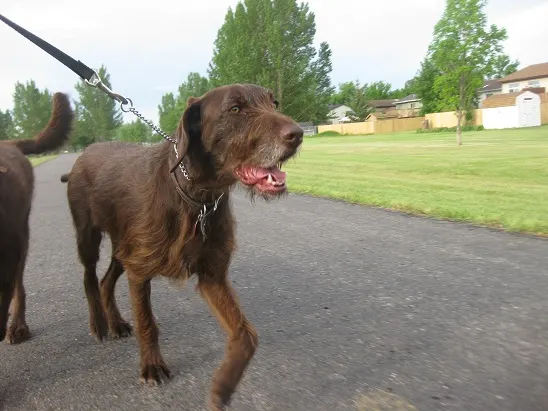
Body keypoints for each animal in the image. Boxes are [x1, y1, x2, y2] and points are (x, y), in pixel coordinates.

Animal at [60, 82, 304, 410]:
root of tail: (84, 154)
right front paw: (152, 366)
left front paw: (223, 386)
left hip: (124, 249)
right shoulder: (140, 274)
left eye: (273, 102)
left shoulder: (213, 276)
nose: (297, 134)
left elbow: (246, 335)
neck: (196, 196)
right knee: (89, 277)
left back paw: (117, 322)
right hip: (89, 236)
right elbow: (147, 323)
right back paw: (99, 323)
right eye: (235, 109)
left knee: (105, 280)